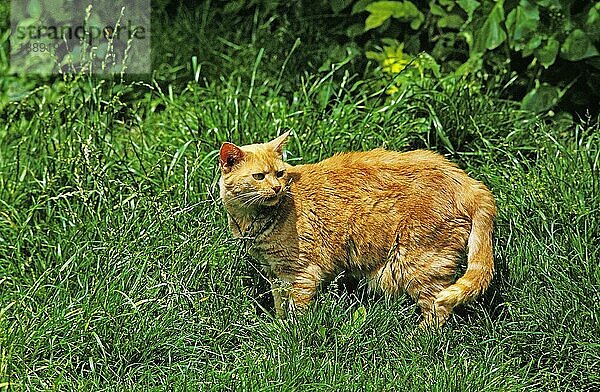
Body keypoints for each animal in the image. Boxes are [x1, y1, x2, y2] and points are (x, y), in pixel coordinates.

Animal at [218, 132, 494, 328]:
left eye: (280, 173)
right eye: (259, 176)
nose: (277, 188)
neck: (255, 220)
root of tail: (468, 181)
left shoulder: (302, 273)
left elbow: (297, 311)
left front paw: (291, 333)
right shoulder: (275, 273)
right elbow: (279, 305)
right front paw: (278, 325)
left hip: (417, 264)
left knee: (439, 308)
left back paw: (417, 338)